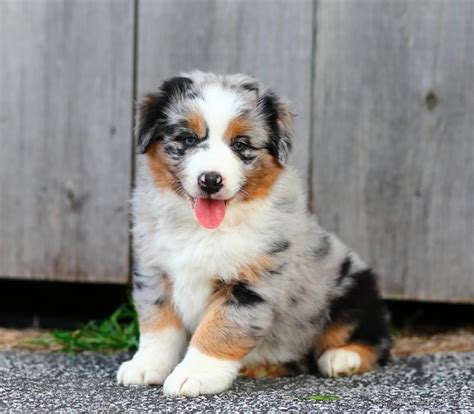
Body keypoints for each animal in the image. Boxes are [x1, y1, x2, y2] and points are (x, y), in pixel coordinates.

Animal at [116, 72, 390, 398]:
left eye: (240, 144)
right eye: (188, 139)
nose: (211, 180)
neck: (203, 229)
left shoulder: (252, 284)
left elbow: (219, 329)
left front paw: (194, 375)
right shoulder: (154, 271)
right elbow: (158, 325)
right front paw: (145, 366)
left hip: (354, 288)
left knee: (375, 340)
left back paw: (341, 357)